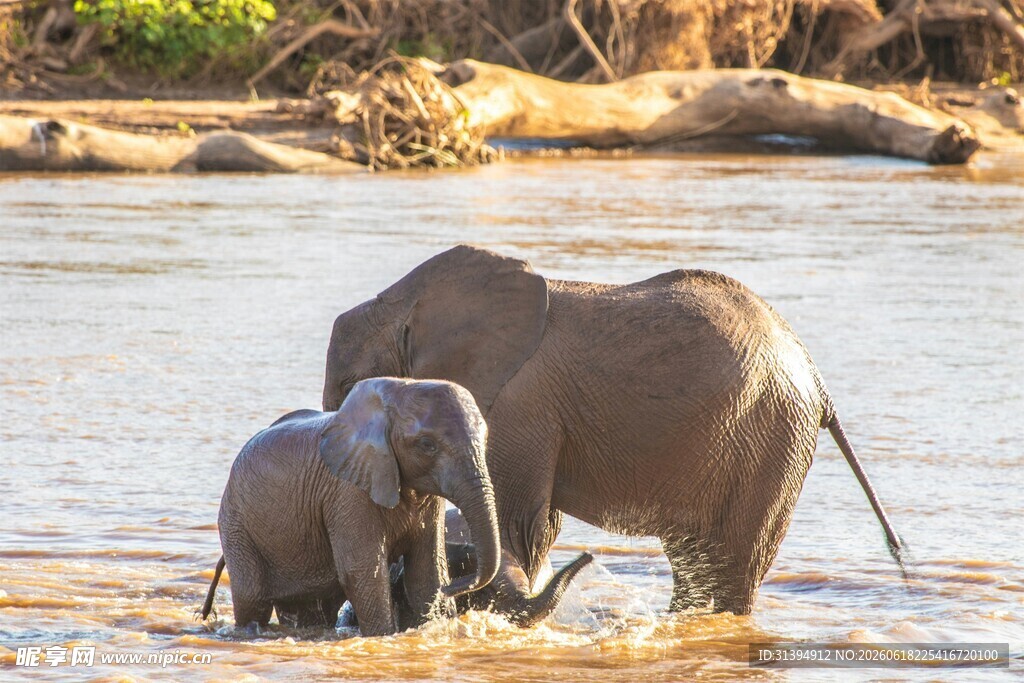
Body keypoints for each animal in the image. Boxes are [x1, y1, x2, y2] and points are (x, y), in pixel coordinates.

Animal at [200, 377, 502, 636]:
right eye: (427, 445)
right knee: (253, 599)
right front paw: (384, 637)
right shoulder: (348, 492)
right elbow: (365, 572)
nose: (454, 589)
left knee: (311, 609)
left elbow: (427, 571)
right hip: (236, 521)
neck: (398, 389)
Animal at [321, 245, 904, 617]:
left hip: (770, 443)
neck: (407, 301)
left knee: (731, 566)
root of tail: (818, 381)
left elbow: (520, 521)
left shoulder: (517, 405)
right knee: (699, 562)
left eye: (349, 383)